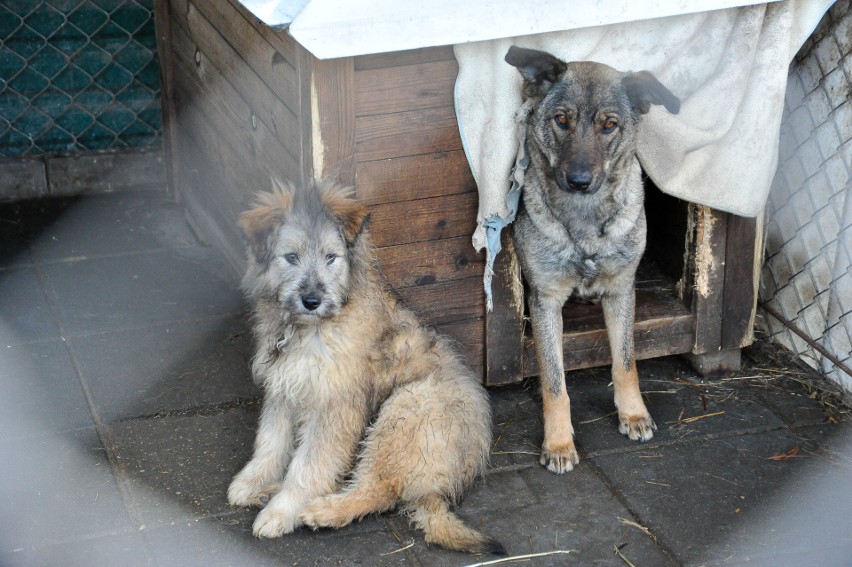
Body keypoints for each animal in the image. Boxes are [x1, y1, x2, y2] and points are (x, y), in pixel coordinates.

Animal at [506, 45, 680, 474]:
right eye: (561, 120)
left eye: (609, 125)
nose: (579, 181)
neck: (583, 220)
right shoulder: (545, 301)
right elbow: (555, 383)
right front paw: (558, 443)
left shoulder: (621, 291)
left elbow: (626, 363)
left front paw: (633, 414)